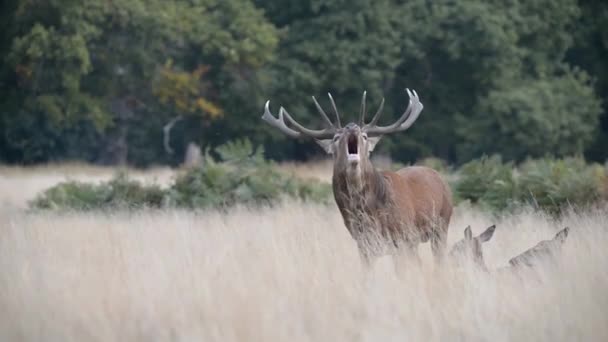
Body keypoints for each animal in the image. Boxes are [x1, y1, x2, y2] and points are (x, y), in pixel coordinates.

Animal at [260, 89, 452, 264]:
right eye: (336, 137)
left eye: (365, 135)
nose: (352, 126)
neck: (367, 213)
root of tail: (439, 177)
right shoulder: (363, 244)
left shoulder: (403, 236)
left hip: (441, 225)